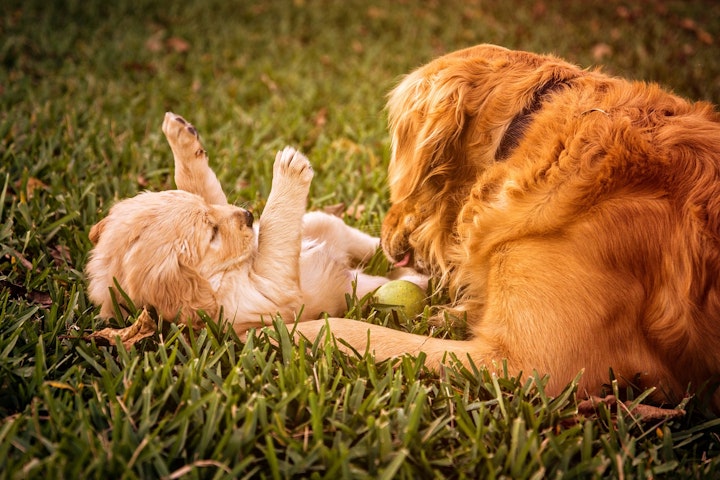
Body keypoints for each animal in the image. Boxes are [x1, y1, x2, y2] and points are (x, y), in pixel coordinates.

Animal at [86, 113, 400, 334]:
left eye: (208, 213)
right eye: (212, 234)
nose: (248, 216)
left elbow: (200, 184)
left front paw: (181, 138)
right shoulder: (268, 296)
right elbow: (272, 240)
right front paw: (288, 170)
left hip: (322, 222)